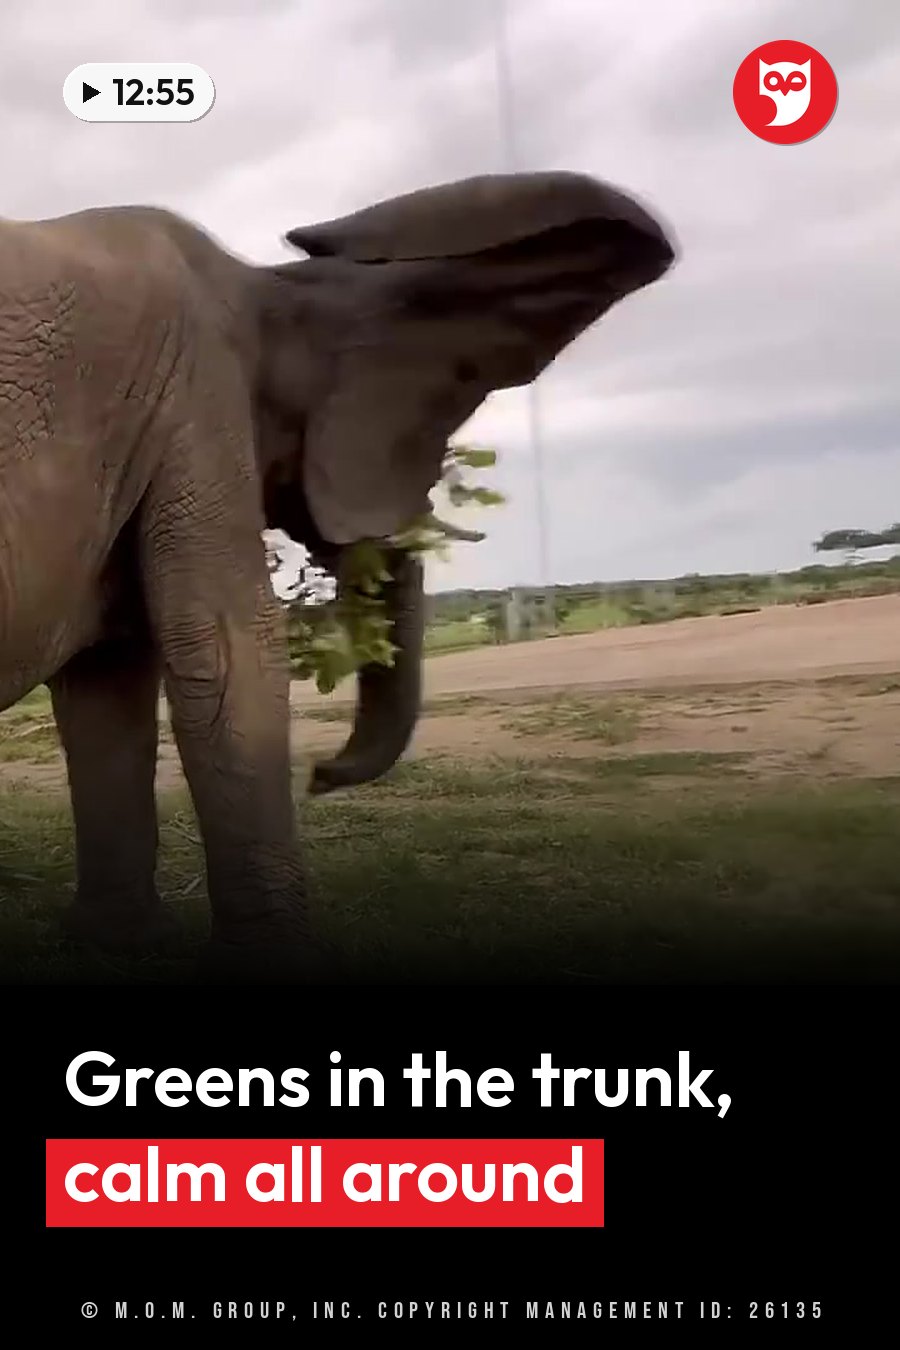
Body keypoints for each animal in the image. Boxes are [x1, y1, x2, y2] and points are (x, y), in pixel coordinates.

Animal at [0, 170, 675, 977]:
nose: (321, 776)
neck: (265, 285)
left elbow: (107, 677)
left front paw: (119, 945)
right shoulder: (197, 403)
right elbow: (226, 648)